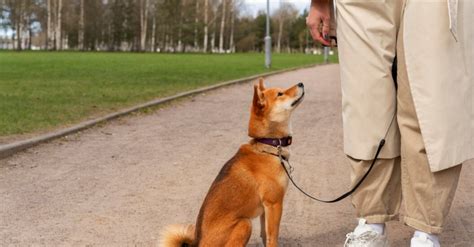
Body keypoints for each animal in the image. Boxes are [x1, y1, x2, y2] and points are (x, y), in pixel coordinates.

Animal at [161, 78, 306, 247]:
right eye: (280, 94)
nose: (301, 83)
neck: (268, 146)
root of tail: (199, 244)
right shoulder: (273, 204)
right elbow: (272, 237)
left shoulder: (265, 209)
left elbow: (265, 235)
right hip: (245, 223)